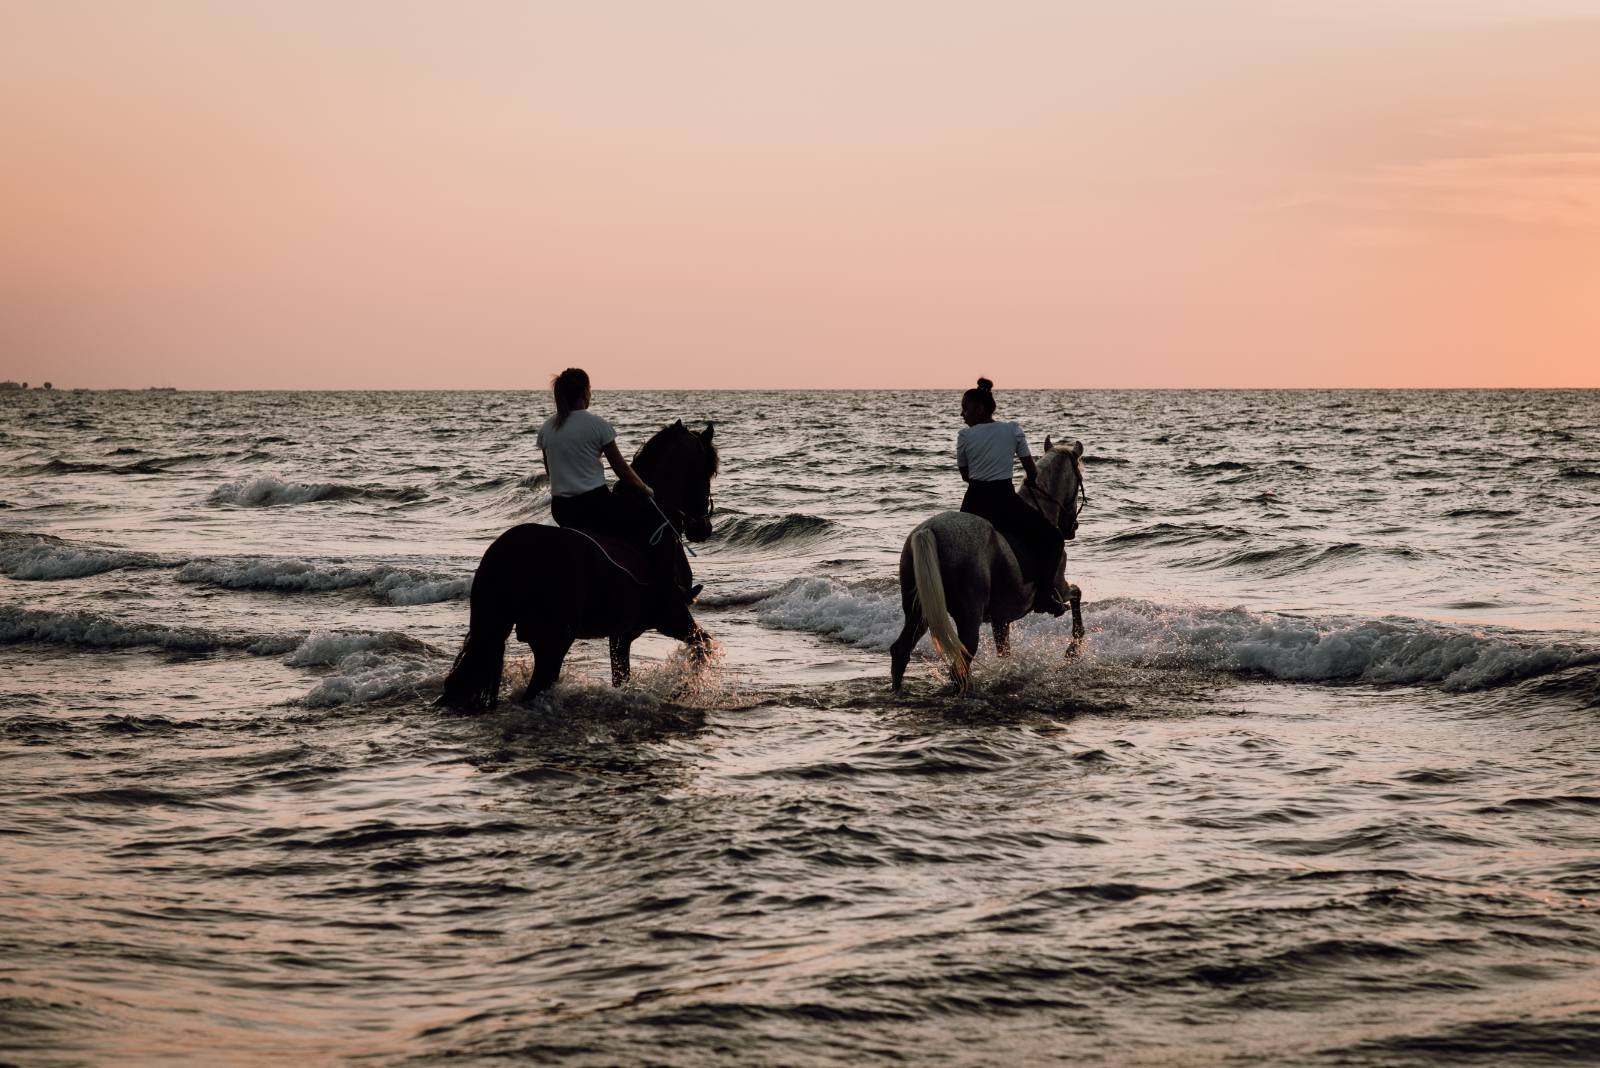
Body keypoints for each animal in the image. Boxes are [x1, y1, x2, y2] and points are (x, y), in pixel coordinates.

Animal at [437, 419, 719, 711]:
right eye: (707, 472)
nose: (703, 529)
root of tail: (514, 552)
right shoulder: (672, 617)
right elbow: (702, 647)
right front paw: (682, 689)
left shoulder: (622, 635)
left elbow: (622, 678)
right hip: (552, 640)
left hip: (494, 626)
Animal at [889, 437, 1086, 693]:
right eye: (1079, 477)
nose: (1072, 528)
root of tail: (928, 530)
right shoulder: (1058, 586)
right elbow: (1076, 593)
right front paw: (1074, 649)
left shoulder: (1001, 619)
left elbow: (1005, 651)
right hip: (967, 616)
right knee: (959, 664)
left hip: (919, 609)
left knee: (901, 650)